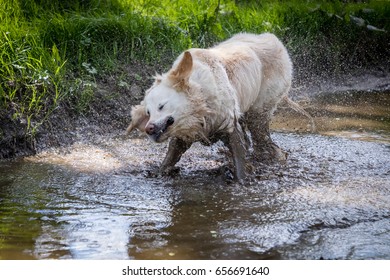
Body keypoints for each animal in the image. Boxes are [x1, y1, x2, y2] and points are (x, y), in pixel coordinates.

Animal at [126, 32, 312, 179]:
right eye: (148, 113)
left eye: (161, 106)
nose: (149, 128)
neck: (201, 97)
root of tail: (272, 38)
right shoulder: (185, 133)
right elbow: (172, 154)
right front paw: (160, 172)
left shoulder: (228, 124)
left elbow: (239, 157)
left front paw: (242, 180)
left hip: (260, 110)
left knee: (263, 138)